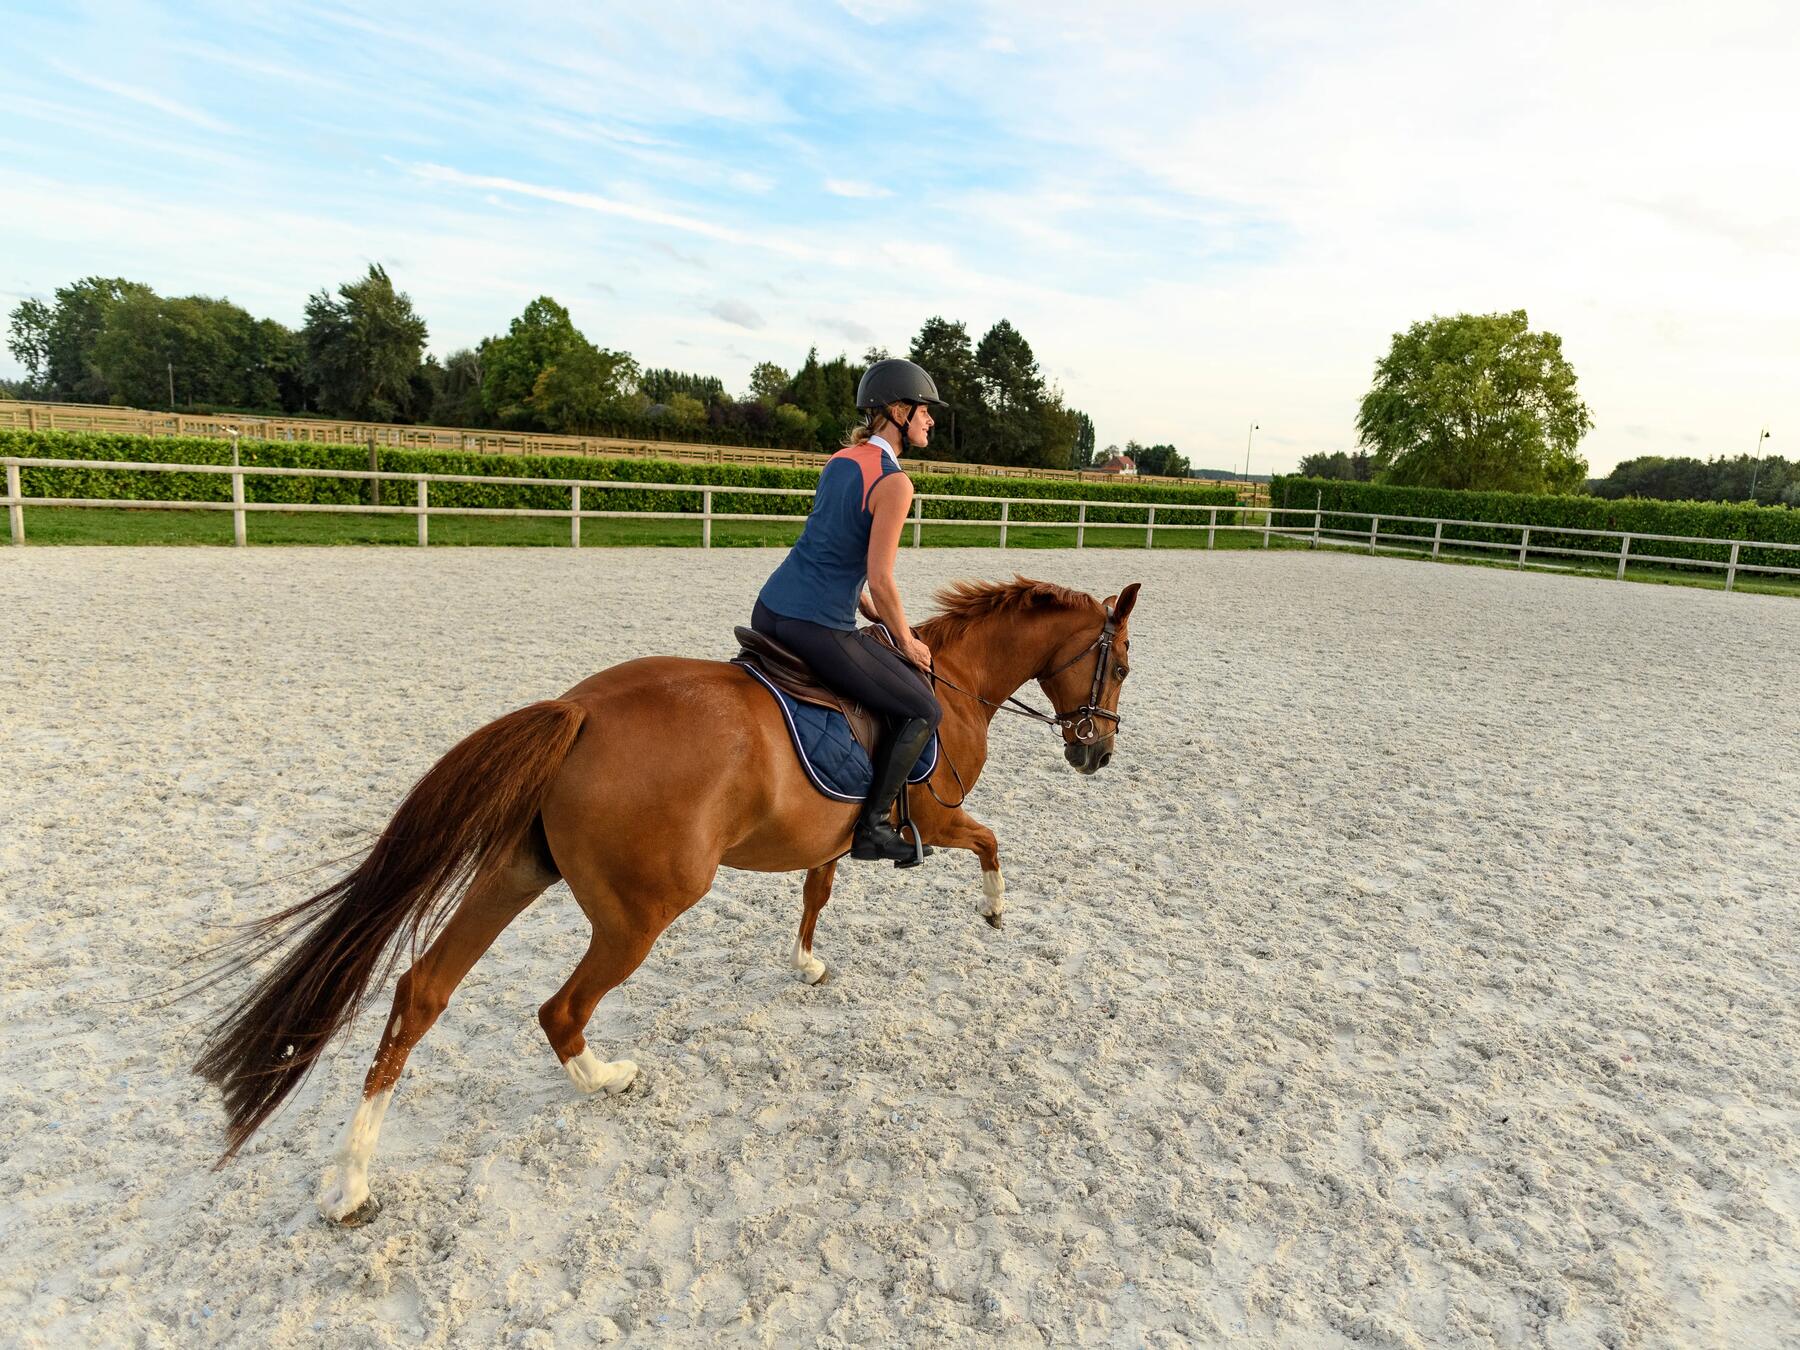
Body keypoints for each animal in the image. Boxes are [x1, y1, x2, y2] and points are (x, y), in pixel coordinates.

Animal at [197, 572, 1137, 1224]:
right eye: (1121, 664)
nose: (1095, 755)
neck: (955, 682)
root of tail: (578, 709)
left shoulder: (830, 841)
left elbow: (818, 888)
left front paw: (806, 963)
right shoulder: (935, 819)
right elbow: (990, 841)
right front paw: (994, 910)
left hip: (515, 873)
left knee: (422, 993)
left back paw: (352, 1184)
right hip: (640, 913)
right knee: (560, 1009)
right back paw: (607, 1079)